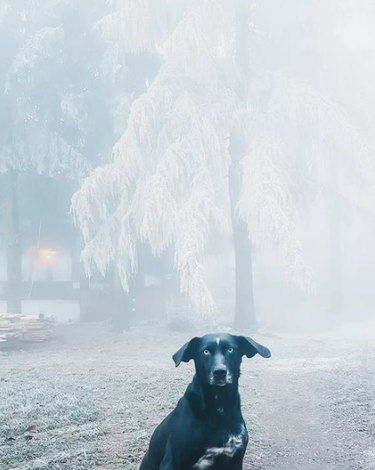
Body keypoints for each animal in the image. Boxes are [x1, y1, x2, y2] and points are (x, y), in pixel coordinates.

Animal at [140, 332, 272, 468]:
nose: (220, 372)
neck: (219, 405)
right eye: (206, 351)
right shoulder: (172, 461)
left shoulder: (235, 458)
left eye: (230, 349)